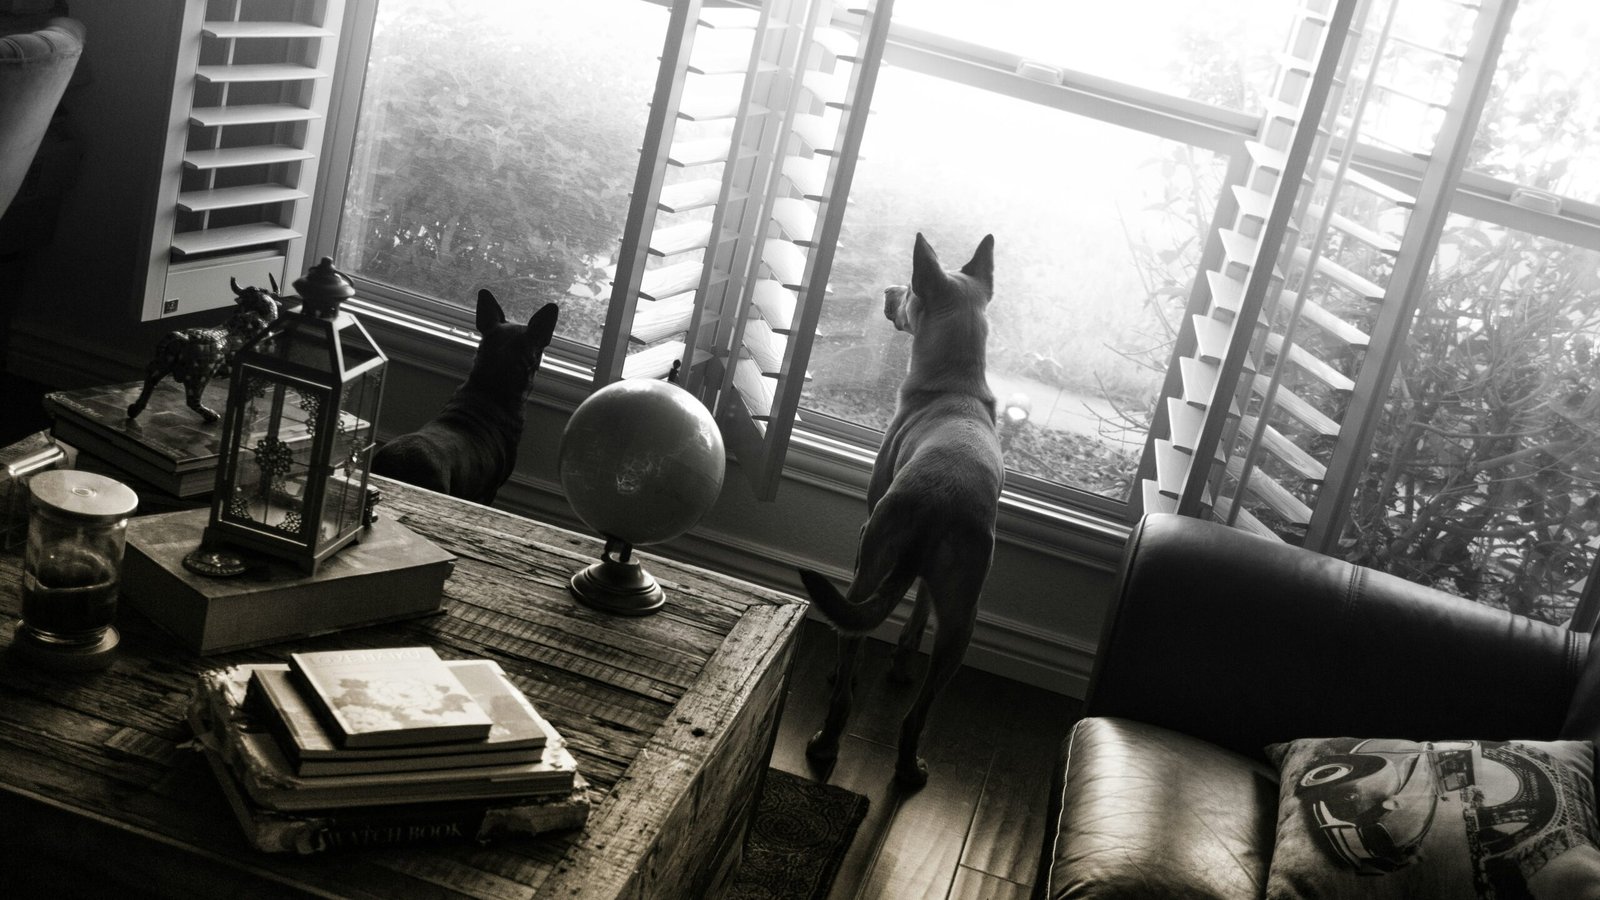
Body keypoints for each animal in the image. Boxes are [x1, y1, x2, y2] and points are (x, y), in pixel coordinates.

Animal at [796, 230, 998, 784]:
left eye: (907, 291)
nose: (888, 292)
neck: (955, 385)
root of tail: (939, 505)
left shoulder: (869, 522)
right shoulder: (933, 584)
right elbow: (918, 614)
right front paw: (904, 663)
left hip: (870, 562)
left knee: (850, 650)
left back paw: (827, 737)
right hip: (963, 617)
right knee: (917, 714)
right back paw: (908, 765)